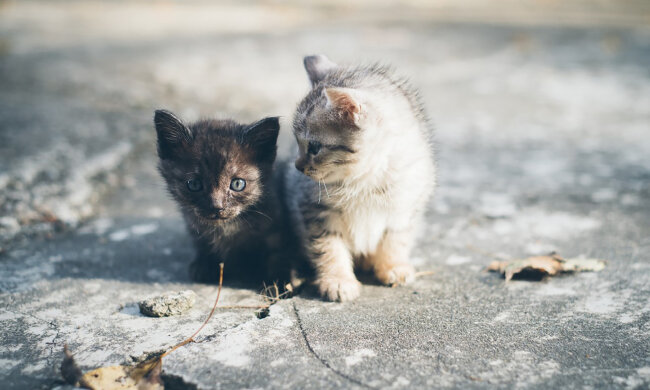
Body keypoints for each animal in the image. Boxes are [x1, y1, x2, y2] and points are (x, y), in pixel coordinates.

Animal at [154, 109, 286, 284]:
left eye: (237, 184)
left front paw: (280, 281)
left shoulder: (276, 228)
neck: (227, 228)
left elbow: (277, 254)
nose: (217, 207)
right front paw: (204, 265)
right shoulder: (193, 226)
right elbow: (202, 243)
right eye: (194, 184)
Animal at [284, 54, 432, 302]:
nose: (297, 166)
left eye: (314, 147)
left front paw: (393, 266)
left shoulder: (404, 207)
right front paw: (337, 280)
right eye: (297, 143)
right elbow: (328, 247)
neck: (364, 181)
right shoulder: (316, 211)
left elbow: (395, 240)